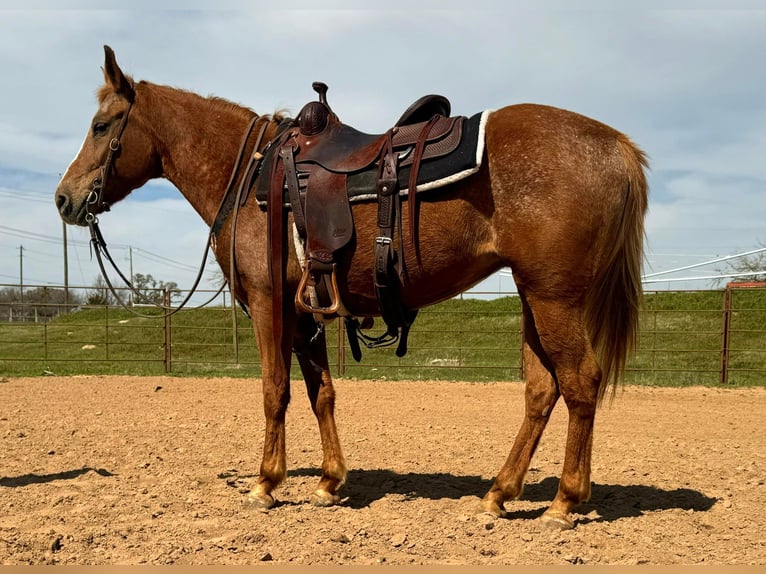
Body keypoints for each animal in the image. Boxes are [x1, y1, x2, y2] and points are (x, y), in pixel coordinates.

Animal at [57, 46, 652, 532]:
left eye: (102, 125)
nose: (64, 199)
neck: (252, 180)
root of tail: (616, 145)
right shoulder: (306, 315)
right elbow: (321, 393)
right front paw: (327, 482)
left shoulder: (271, 306)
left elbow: (275, 391)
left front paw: (265, 483)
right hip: (535, 299)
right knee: (541, 390)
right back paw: (499, 494)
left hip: (555, 299)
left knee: (580, 382)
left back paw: (564, 502)